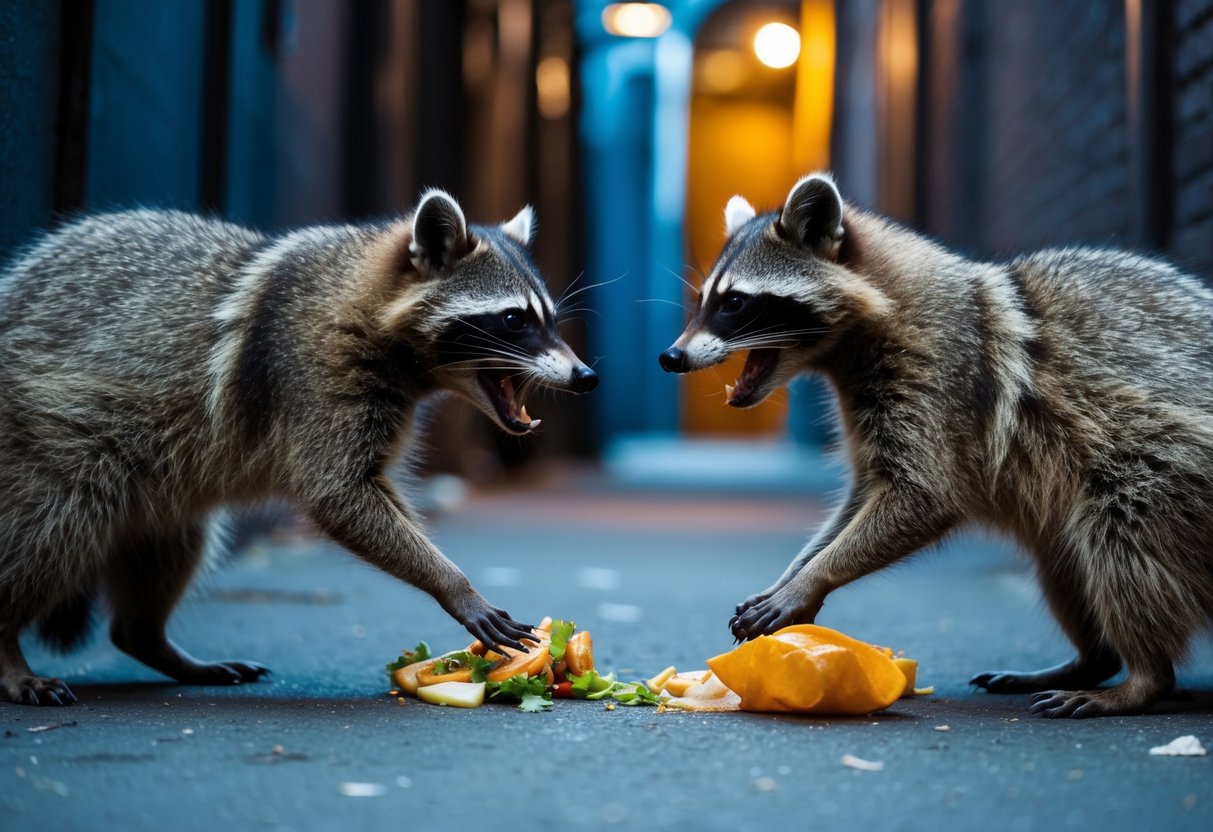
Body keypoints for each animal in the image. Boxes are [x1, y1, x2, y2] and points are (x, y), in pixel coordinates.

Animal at [0, 191, 598, 706]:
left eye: (550, 319)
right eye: (514, 319)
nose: (586, 376)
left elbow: (366, 491)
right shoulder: (314, 368)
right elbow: (336, 493)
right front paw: (454, 584)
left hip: (160, 490)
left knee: (171, 547)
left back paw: (149, 638)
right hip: (54, 440)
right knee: (52, 529)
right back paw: (9, 649)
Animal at [660, 172, 1213, 718]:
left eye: (734, 302)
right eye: (703, 300)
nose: (671, 357)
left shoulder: (944, 378)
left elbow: (925, 494)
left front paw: (814, 576)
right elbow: (864, 494)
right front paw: (796, 570)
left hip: (1166, 468)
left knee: (1122, 537)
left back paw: (1143, 677)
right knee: (1065, 560)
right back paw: (1092, 660)